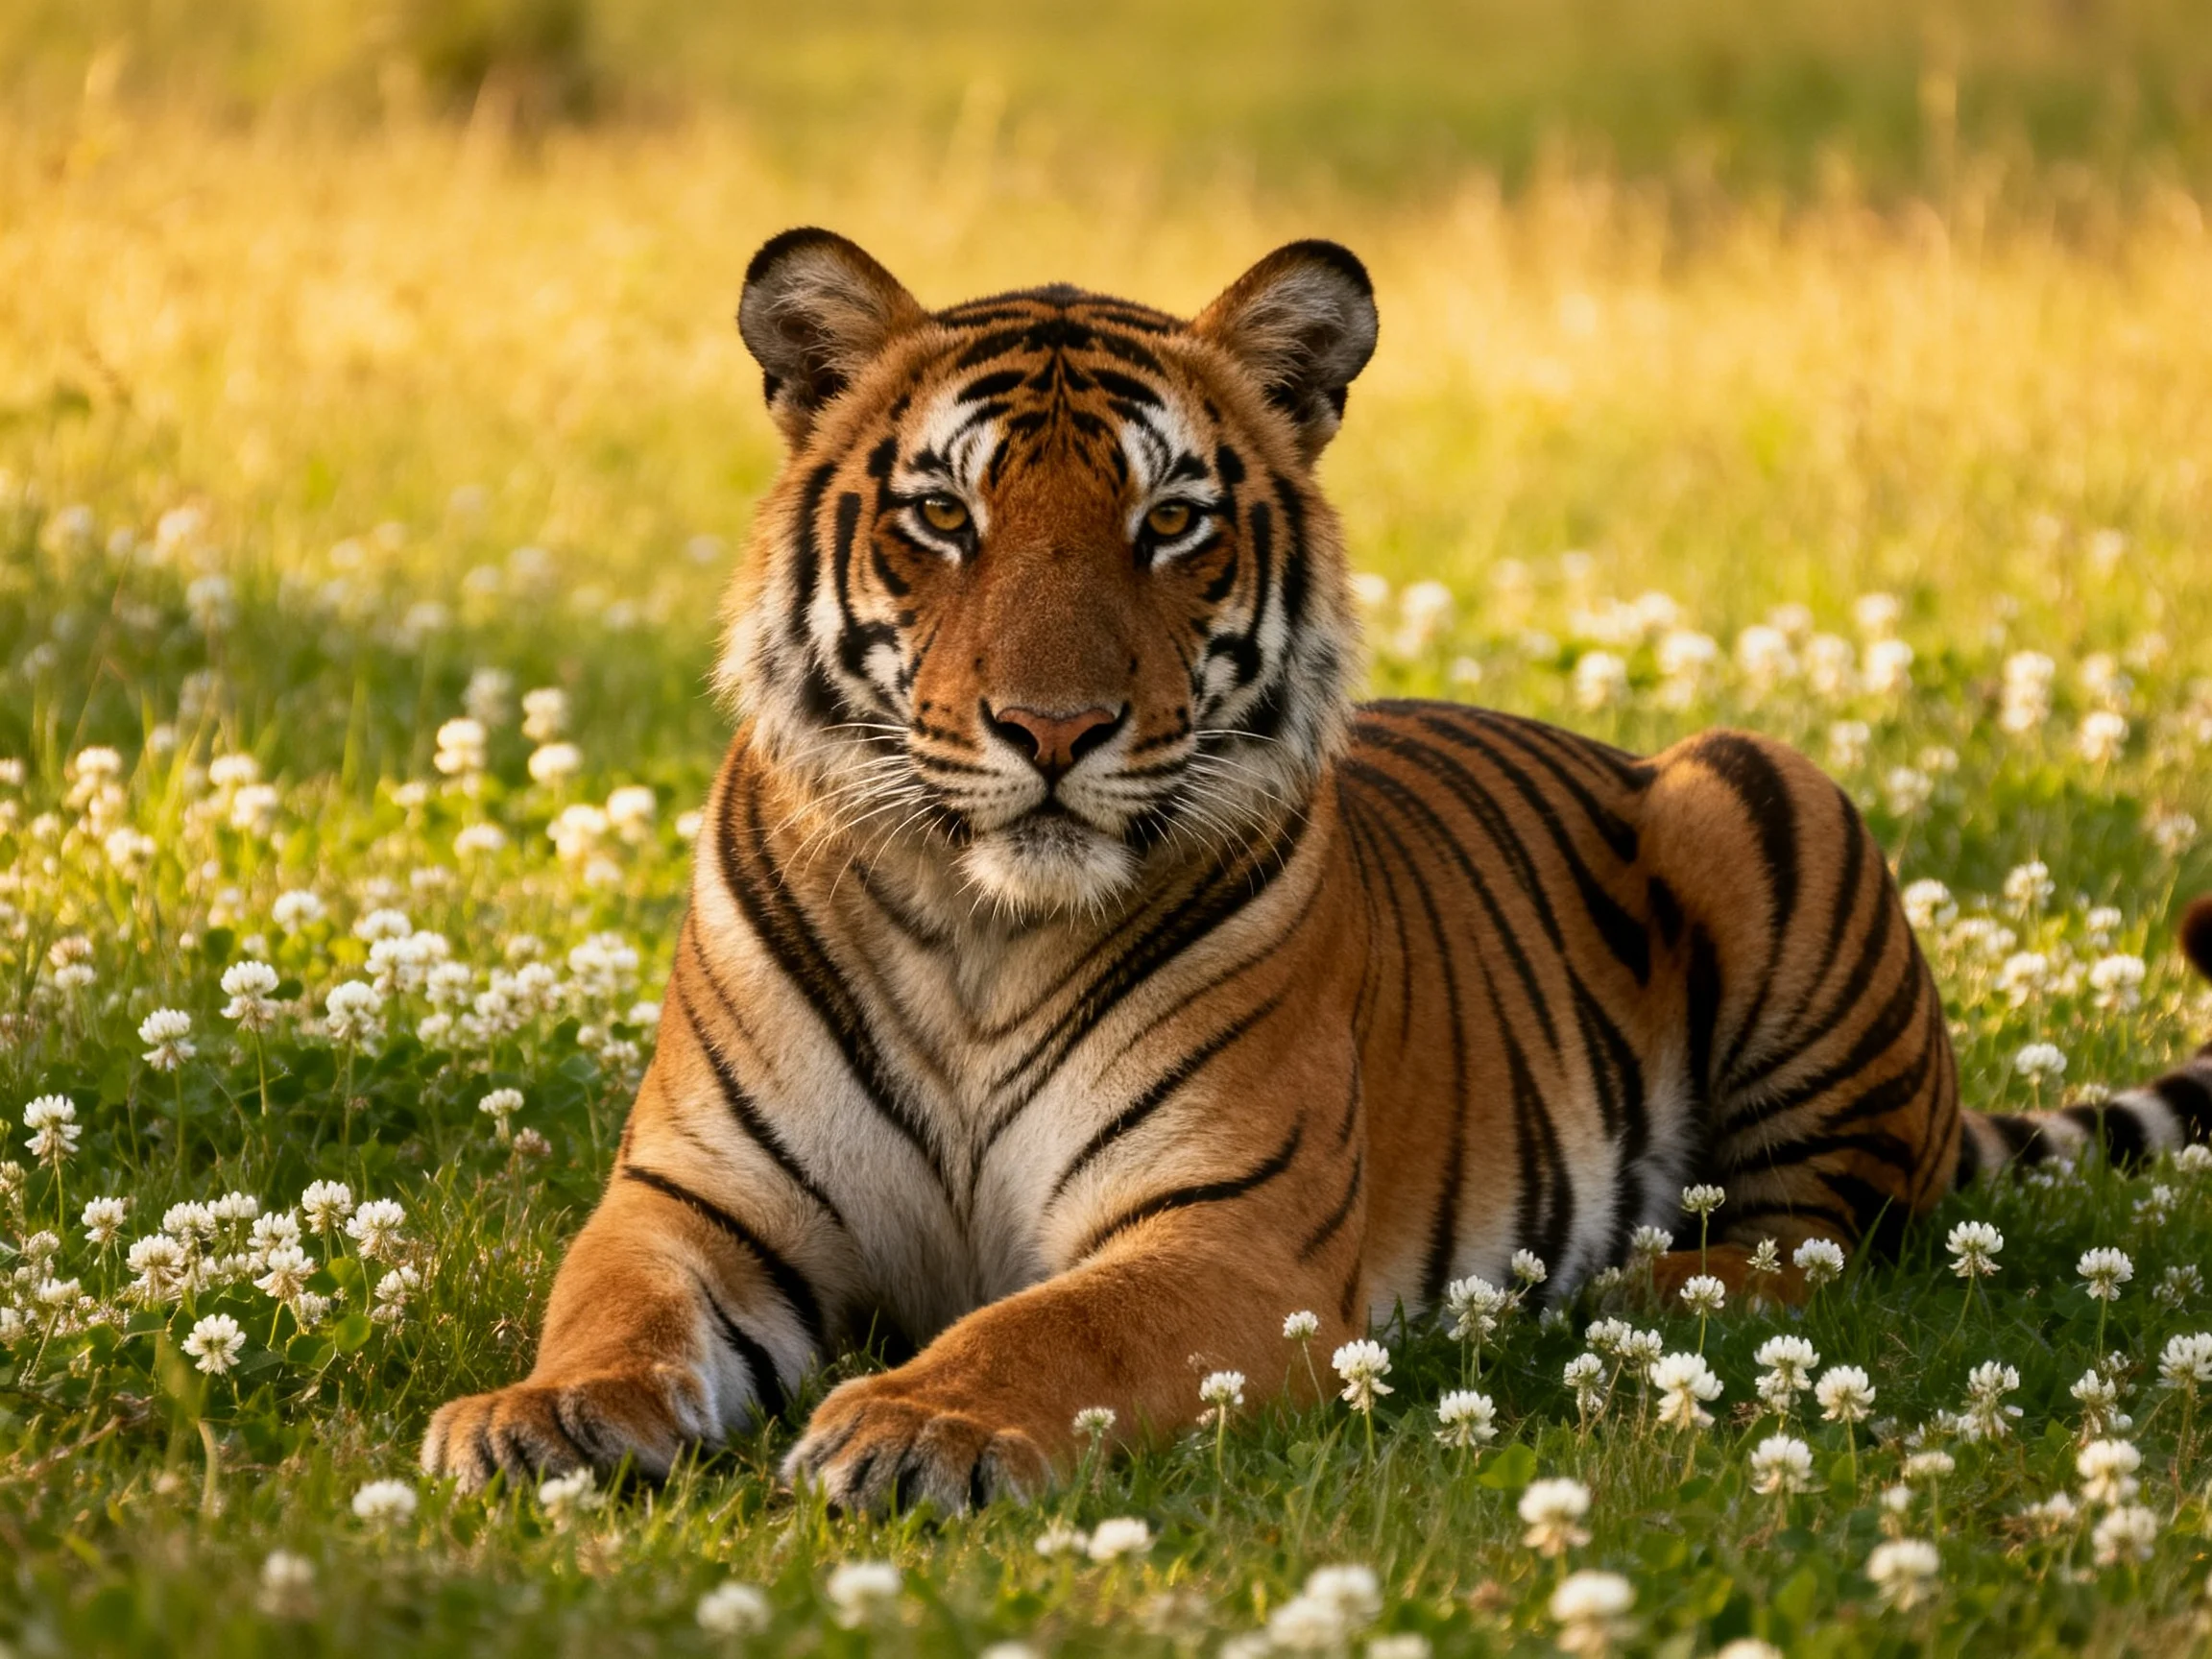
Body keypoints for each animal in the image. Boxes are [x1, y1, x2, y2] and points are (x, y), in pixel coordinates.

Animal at [421, 228, 2212, 1510]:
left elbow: (1049, 1321)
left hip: (1755, 790)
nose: (1053, 727)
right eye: (941, 516)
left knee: (1828, 1232)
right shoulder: (698, 1198)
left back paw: (1641, 1287)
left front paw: (918, 1422)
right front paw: (542, 1415)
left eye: (1169, 522)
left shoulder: (1222, 1234)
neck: (979, 930)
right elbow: (614, 1306)